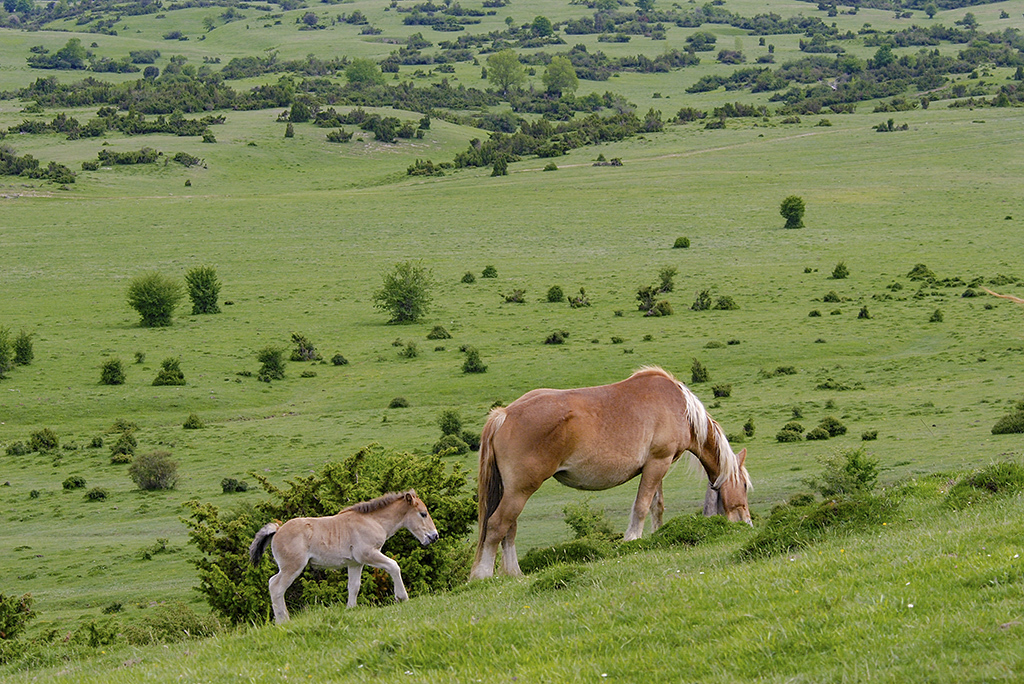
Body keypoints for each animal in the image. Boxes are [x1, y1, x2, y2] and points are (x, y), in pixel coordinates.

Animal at [251, 489, 440, 622]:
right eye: (423, 513)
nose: (434, 536)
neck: (372, 521)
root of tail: (277, 530)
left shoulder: (355, 563)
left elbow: (354, 586)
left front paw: (351, 609)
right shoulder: (368, 554)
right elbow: (394, 566)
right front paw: (402, 597)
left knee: (272, 584)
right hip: (292, 567)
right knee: (276, 587)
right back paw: (283, 621)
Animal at [471, 366, 753, 581]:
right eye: (745, 487)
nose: (747, 523)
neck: (679, 406)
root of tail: (504, 415)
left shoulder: (658, 464)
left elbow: (656, 506)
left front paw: (657, 537)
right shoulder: (657, 463)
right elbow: (641, 506)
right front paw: (632, 541)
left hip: (513, 491)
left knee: (509, 528)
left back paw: (514, 573)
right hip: (521, 490)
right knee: (497, 525)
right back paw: (483, 575)